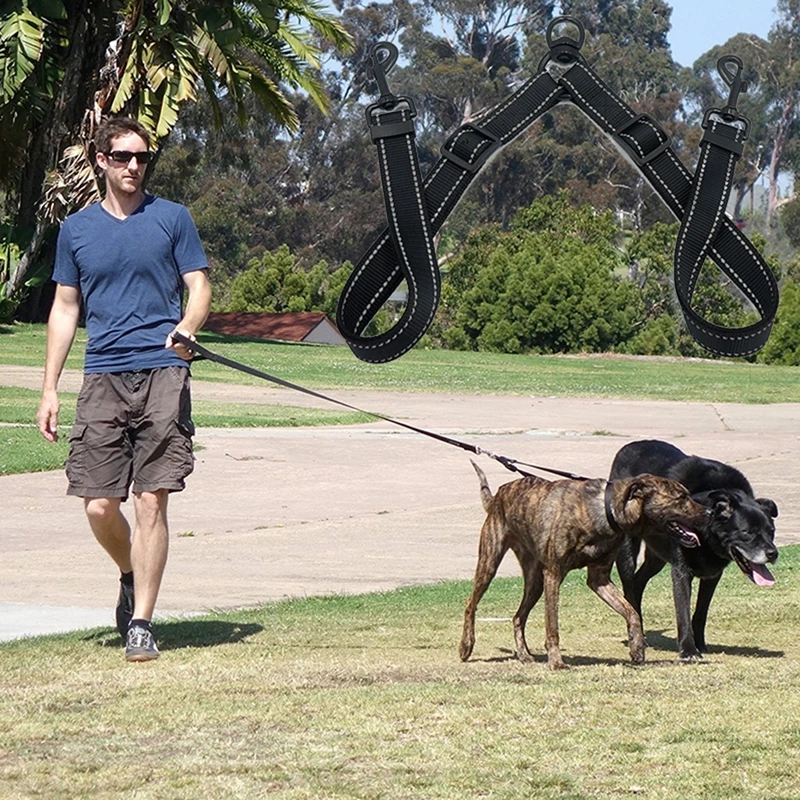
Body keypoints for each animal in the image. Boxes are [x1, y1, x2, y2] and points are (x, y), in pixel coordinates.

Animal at [460, 462, 704, 668]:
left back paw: (524, 654)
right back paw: (466, 646)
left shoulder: (599, 579)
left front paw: (637, 648)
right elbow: (552, 626)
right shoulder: (553, 574)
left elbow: (631, 612)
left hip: (534, 581)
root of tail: (497, 496)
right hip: (490, 563)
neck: (607, 510)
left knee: (518, 617)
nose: (708, 513)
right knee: (471, 603)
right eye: (681, 497)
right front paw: (556, 661)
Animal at [608, 440, 780, 660]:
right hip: (627, 552)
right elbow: (683, 613)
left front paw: (701, 645)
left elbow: (700, 612)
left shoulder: (713, 574)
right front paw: (688, 650)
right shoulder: (681, 572)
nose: (773, 554)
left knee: (639, 582)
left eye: (771, 531)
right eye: (747, 532)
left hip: (657, 557)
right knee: (629, 589)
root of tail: (629, 446)